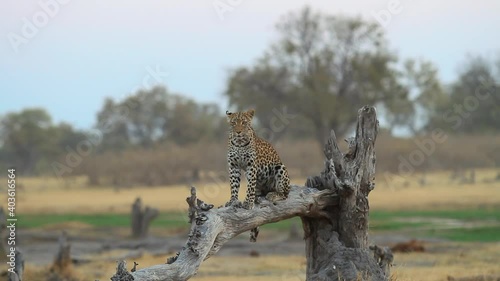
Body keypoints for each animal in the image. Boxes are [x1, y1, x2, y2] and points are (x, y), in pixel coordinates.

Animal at [225, 109, 292, 241]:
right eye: (234, 123)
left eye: (244, 123)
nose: (238, 132)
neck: (239, 143)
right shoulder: (233, 166)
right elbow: (234, 185)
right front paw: (233, 201)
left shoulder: (251, 166)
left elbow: (250, 186)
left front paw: (248, 203)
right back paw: (258, 196)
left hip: (280, 168)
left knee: (285, 194)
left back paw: (273, 195)